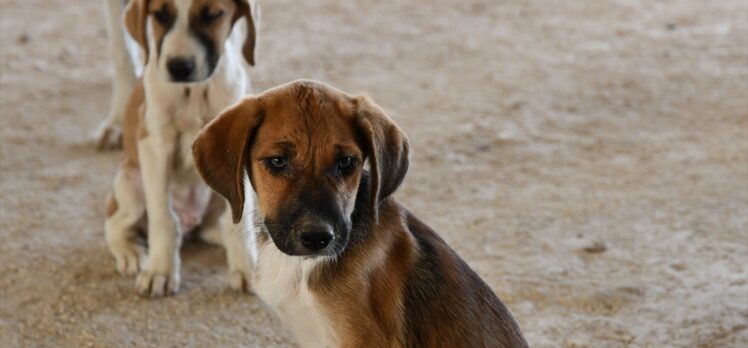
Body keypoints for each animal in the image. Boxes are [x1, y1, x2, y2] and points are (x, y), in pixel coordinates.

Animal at [103, 0, 258, 296]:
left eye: (212, 15)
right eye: (160, 15)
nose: (179, 67)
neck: (194, 91)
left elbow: (239, 221)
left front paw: (246, 266)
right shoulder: (155, 145)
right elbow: (163, 219)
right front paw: (160, 271)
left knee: (219, 224)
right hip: (129, 184)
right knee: (116, 224)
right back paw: (130, 252)